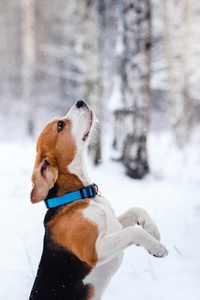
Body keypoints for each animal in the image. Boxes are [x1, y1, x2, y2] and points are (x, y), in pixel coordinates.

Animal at [29, 101, 167, 300]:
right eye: (60, 125)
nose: (80, 102)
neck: (81, 195)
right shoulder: (95, 251)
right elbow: (133, 232)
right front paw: (156, 247)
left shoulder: (113, 225)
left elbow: (136, 209)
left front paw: (152, 229)